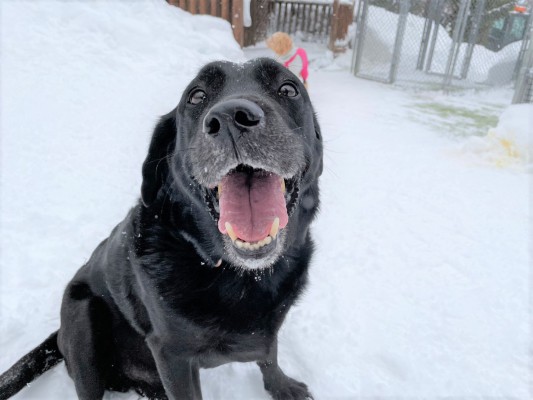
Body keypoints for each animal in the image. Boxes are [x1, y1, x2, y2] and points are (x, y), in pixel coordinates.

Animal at [0, 57, 322, 400]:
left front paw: (282, 386)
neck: (236, 273)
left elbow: (269, 353)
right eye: (196, 96)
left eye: (289, 88)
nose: (231, 118)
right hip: (81, 321)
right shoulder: (171, 355)